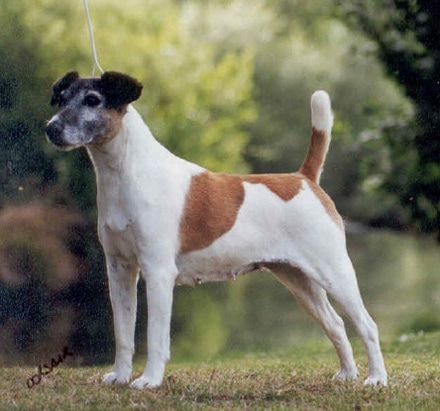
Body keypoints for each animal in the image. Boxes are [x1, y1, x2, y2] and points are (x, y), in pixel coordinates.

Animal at [46, 71, 386, 390]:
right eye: (61, 99)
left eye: (93, 100)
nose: (51, 128)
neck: (126, 173)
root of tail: (305, 178)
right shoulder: (119, 271)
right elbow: (124, 333)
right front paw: (120, 376)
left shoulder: (157, 272)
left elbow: (155, 336)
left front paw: (149, 380)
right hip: (300, 281)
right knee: (337, 325)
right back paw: (348, 374)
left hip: (335, 273)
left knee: (367, 326)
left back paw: (376, 378)